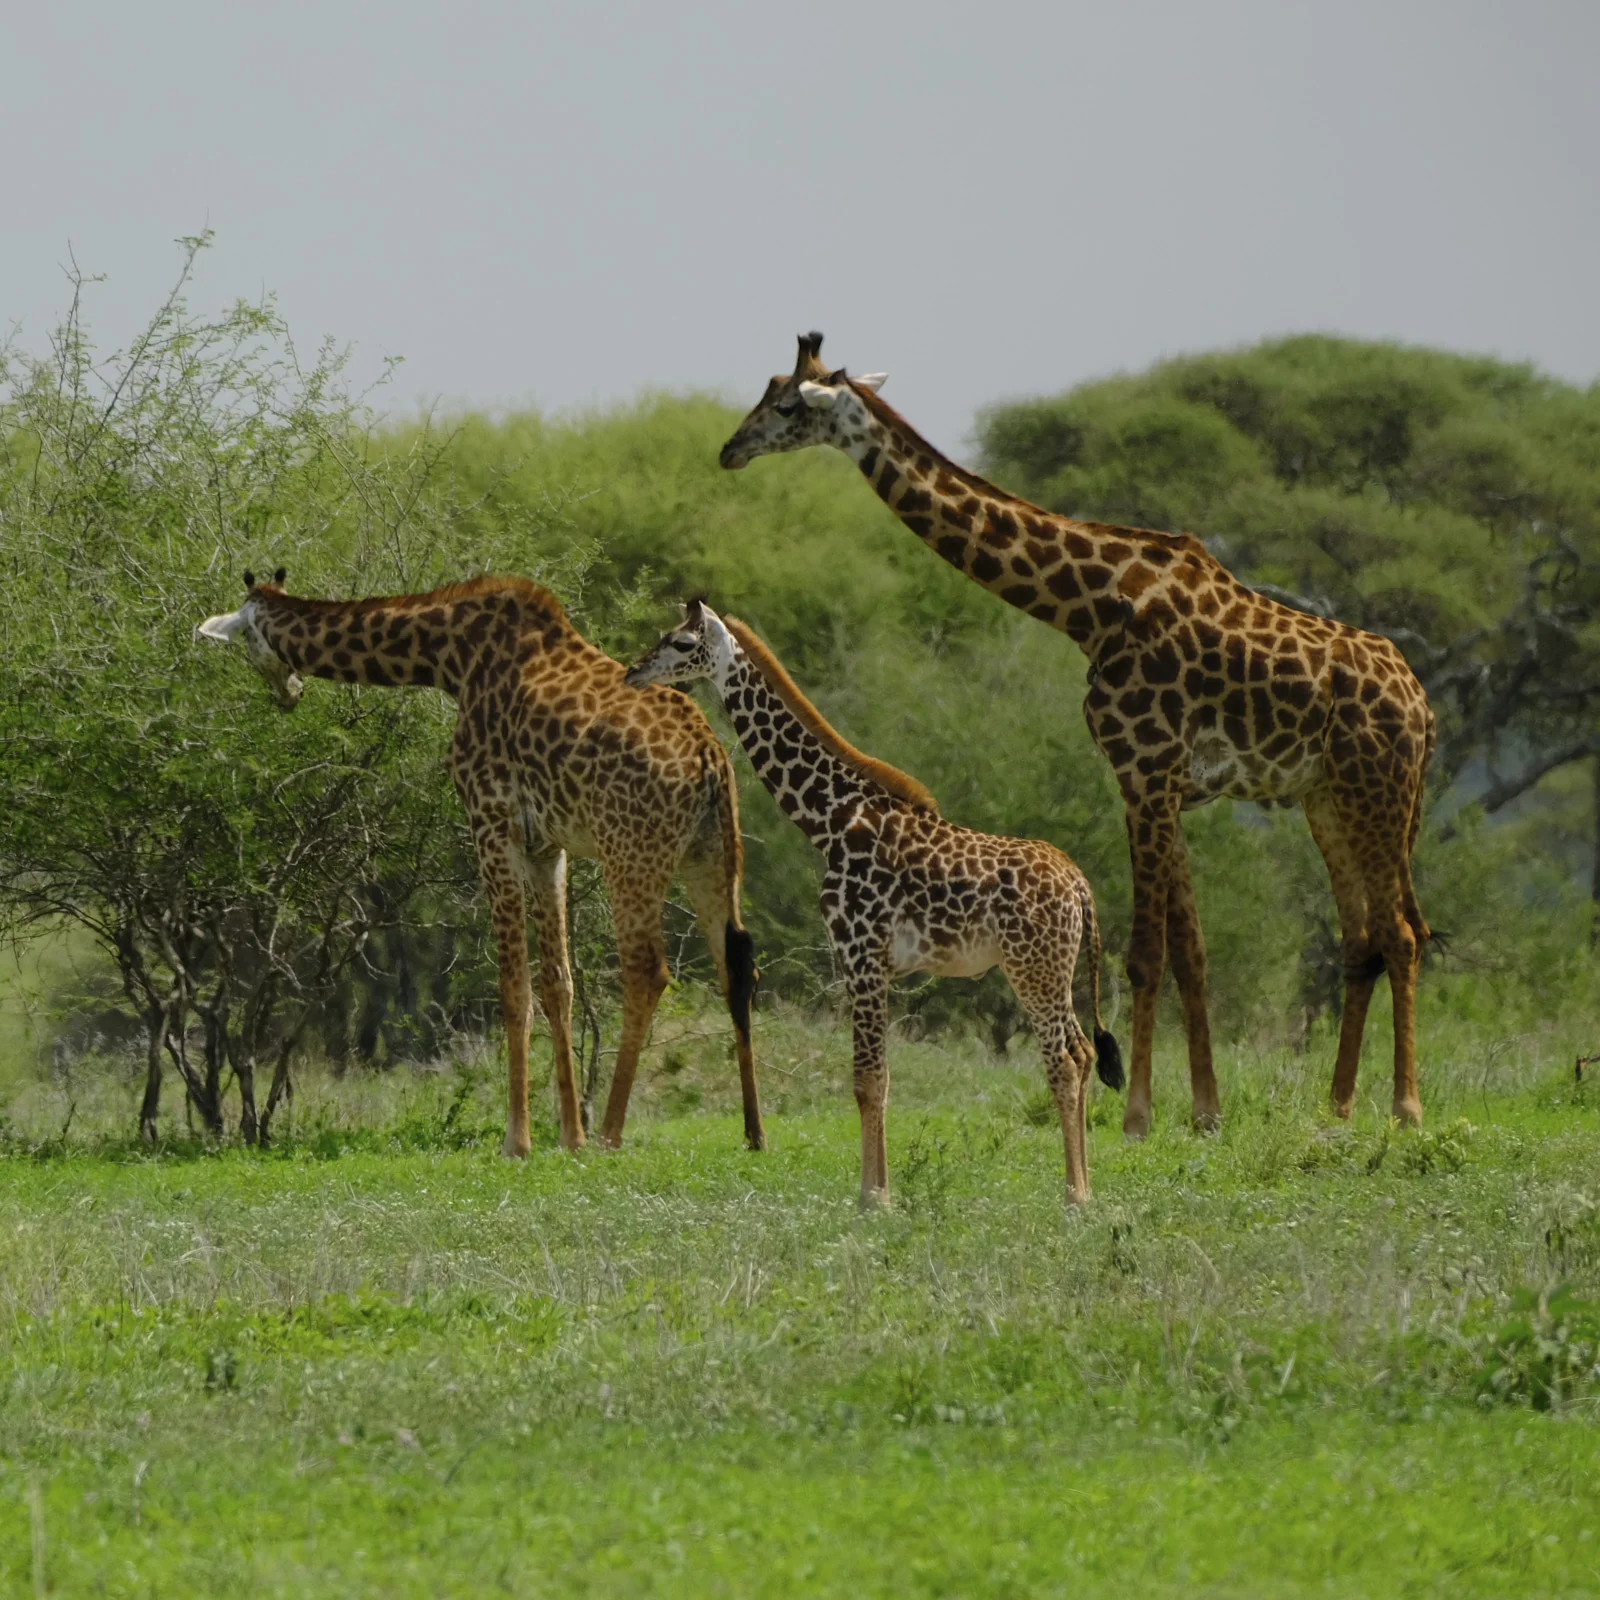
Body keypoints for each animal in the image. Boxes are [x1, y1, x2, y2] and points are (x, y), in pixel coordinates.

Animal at [198, 570, 765, 1157]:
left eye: (244, 637)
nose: (290, 693)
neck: (450, 655)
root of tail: (711, 758)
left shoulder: (491, 820)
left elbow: (513, 987)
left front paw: (519, 1140)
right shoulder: (547, 846)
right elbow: (557, 983)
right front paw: (569, 1136)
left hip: (630, 851)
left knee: (648, 969)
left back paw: (611, 1133)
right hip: (710, 854)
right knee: (736, 965)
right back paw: (752, 1132)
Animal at [625, 599, 1122, 1206]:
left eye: (679, 643)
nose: (633, 671)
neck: (831, 820)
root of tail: (1079, 885)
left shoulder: (859, 955)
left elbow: (866, 1078)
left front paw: (871, 1198)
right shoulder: (874, 965)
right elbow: (880, 1080)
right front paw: (880, 1190)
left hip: (1033, 969)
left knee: (1064, 1061)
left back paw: (1075, 1196)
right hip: (1056, 971)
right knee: (1085, 1051)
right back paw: (1086, 1187)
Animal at [719, 333, 1435, 1137]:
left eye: (786, 405)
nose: (729, 449)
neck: (1088, 607)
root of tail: (1422, 703)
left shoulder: (1144, 770)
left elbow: (1147, 951)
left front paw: (1140, 1114)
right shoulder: (1160, 783)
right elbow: (1190, 950)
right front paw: (1205, 1112)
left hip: (1378, 791)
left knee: (1401, 935)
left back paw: (1405, 1107)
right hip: (1328, 800)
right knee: (1361, 939)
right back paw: (1339, 1104)